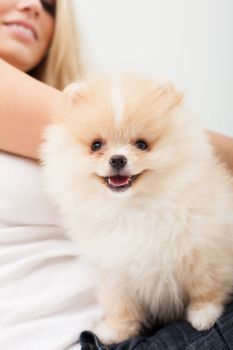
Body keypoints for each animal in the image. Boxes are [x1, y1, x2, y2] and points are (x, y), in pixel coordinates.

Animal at [41, 74, 233, 344]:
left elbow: (205, 286)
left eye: (142, 144)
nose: (117, 159)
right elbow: (120, 305)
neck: (134, 208)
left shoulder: (204, 250)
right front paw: (115, 331)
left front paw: (204, 315)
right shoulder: (115, 269)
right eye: (96, 145)